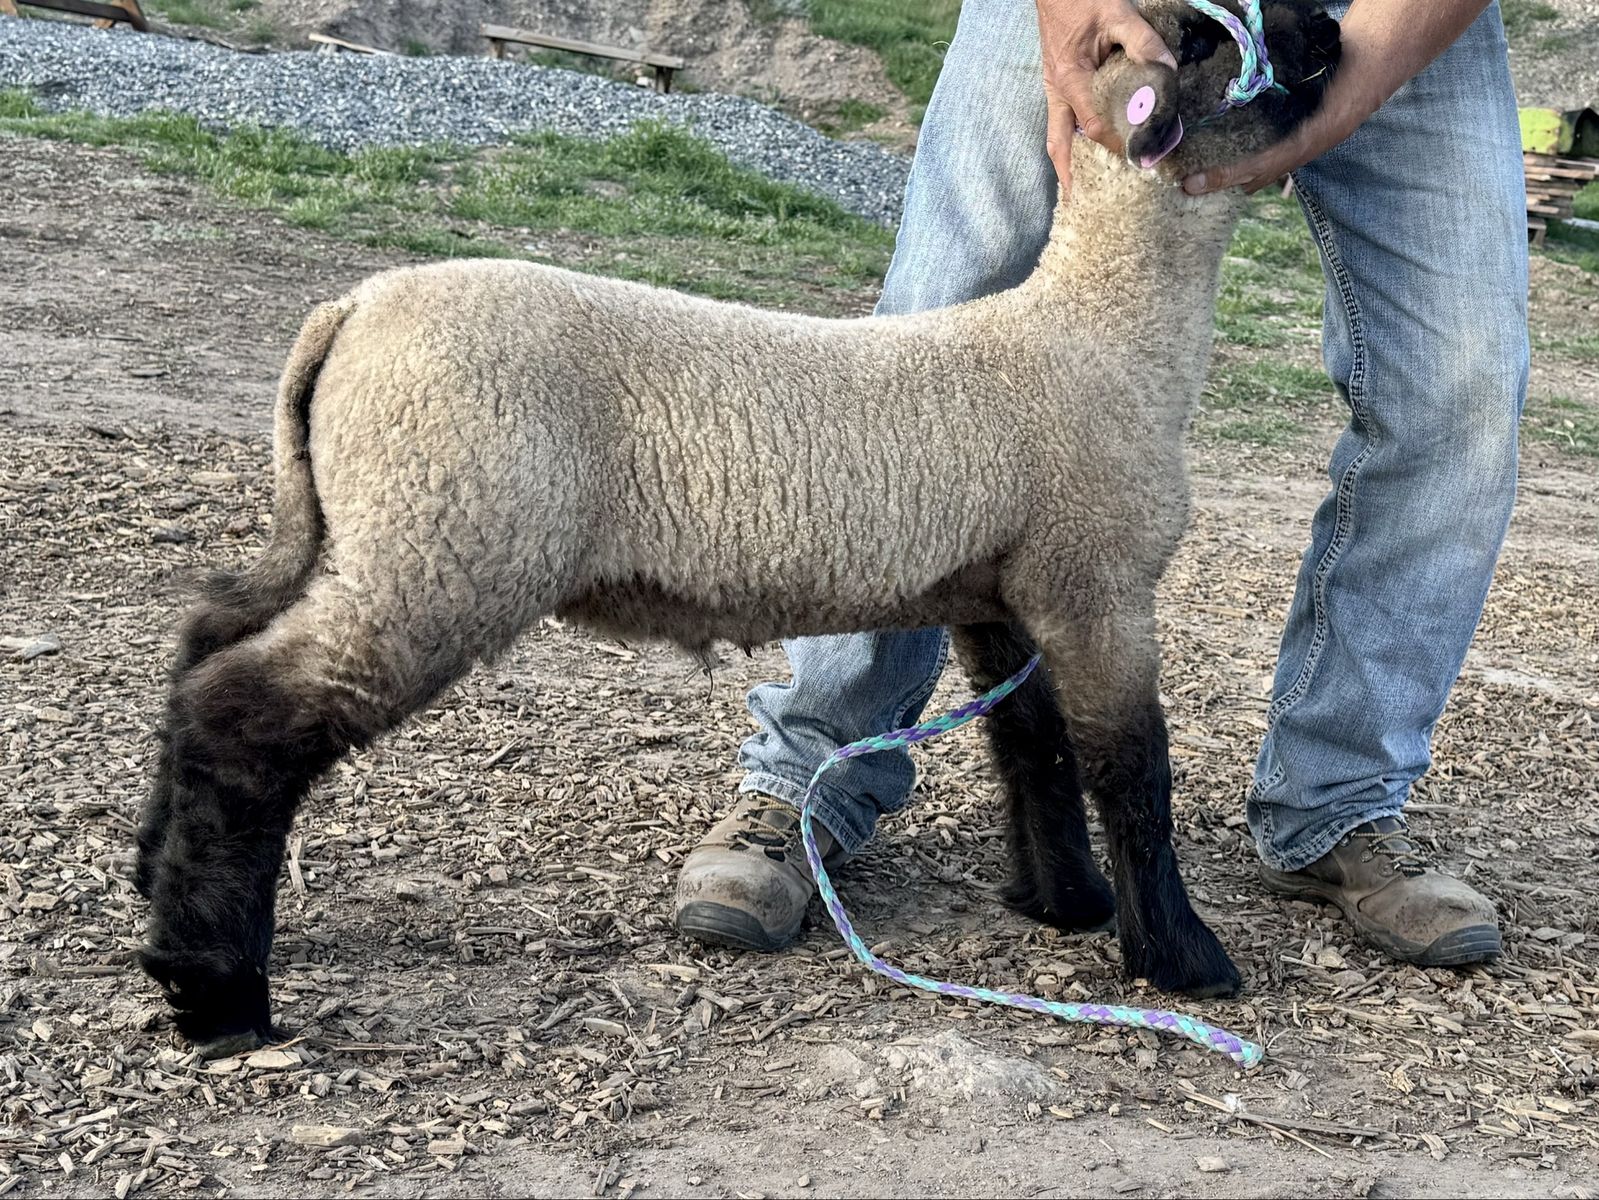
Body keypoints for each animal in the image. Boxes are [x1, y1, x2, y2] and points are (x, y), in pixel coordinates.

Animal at [134, 0, 1341, 1055]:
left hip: (374, 530)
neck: (1104, 331)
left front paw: (1068, 903)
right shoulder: (1099, 582)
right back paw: (217, 991)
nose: (1331, 28)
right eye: (1210, 35)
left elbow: (1032, 747)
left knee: (206, 645)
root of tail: (350, 313)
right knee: (248, 712)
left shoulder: (1002, 591)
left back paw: (153, 879)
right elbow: (1131, 768)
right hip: (447, 541)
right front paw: (1181, 959)